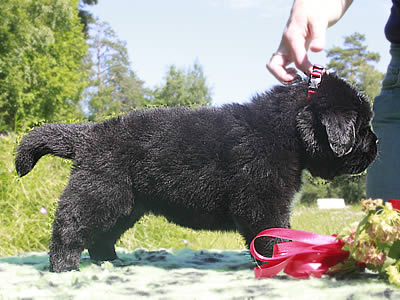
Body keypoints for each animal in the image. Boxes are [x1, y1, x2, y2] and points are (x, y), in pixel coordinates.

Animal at [15, 72, 378, 272]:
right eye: (362, 126)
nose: (377, 145)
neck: (284, 132)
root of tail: (88, 133)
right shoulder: (264, 202)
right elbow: (272, 236)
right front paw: (280, 263)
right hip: (98, 192)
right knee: (69, 228)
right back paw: (64, 266)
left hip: (126, 205)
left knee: (102, 235)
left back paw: (109, 260)